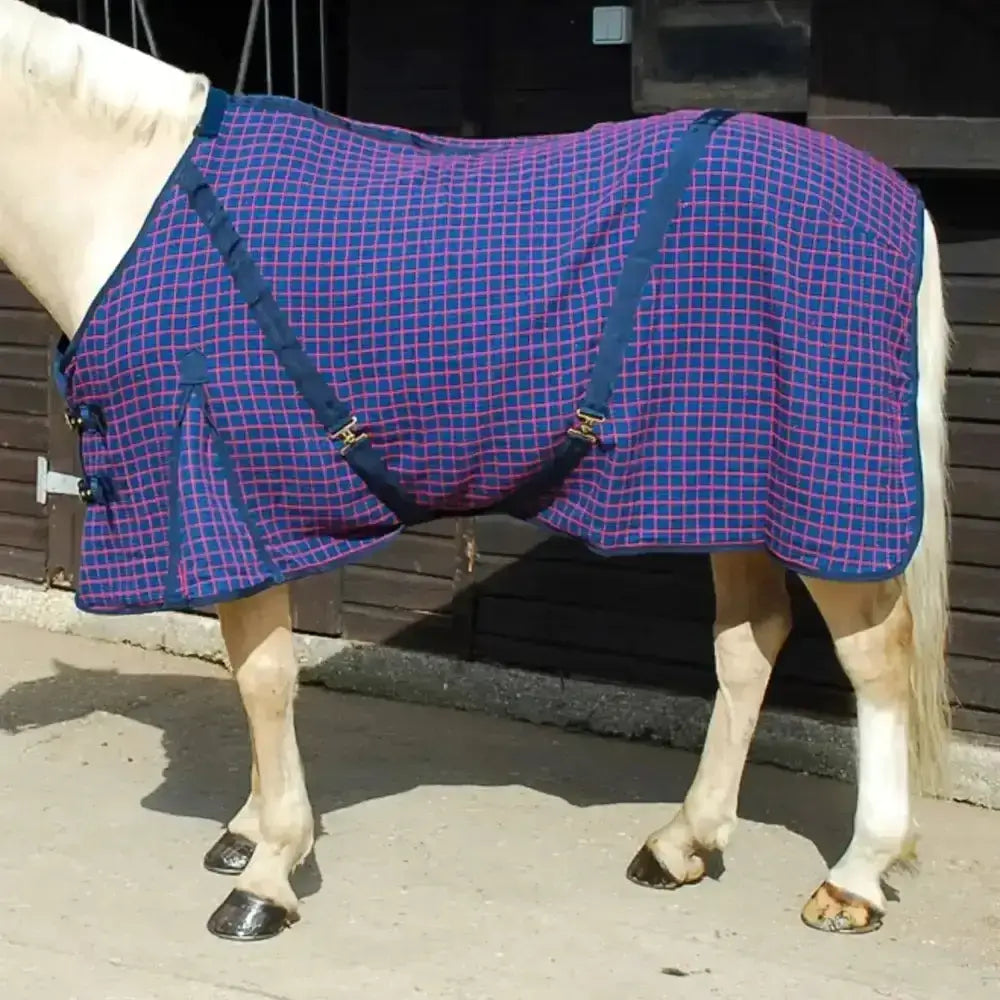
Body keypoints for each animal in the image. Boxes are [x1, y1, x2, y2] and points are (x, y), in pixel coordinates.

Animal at [0, 0, 952, 942]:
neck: (129, 199)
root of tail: (898, 200)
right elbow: (255, 670)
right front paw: (253, 833)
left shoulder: (220, 472)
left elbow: (264, 677)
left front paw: (267, 872)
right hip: (725, 486)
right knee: (750, 645)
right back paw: (684, 841)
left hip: (830, 489)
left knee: (876, 659)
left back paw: (854, 878)